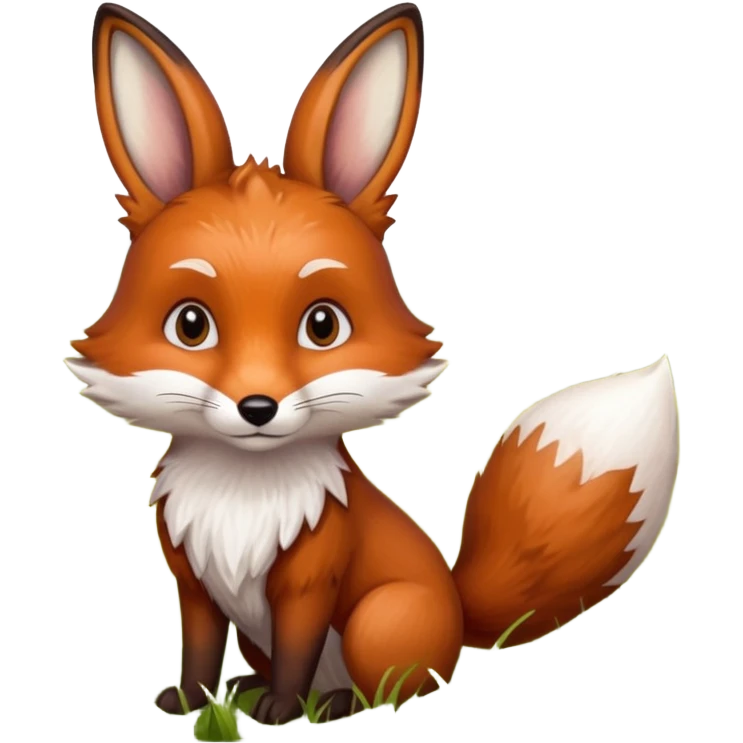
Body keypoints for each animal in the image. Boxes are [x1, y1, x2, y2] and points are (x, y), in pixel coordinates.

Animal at [67, 1, 681, 727]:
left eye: (322, 325)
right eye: (191, 325)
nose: (256, 407)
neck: (243, 496)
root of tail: (457, 608)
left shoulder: (312, 577)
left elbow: (298, 648)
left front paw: (281, 708)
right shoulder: (192, 579)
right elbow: (200, 648)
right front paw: (192, 702)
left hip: (378, 618)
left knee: (398, 686)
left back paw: (332, 702)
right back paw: (246, 690)